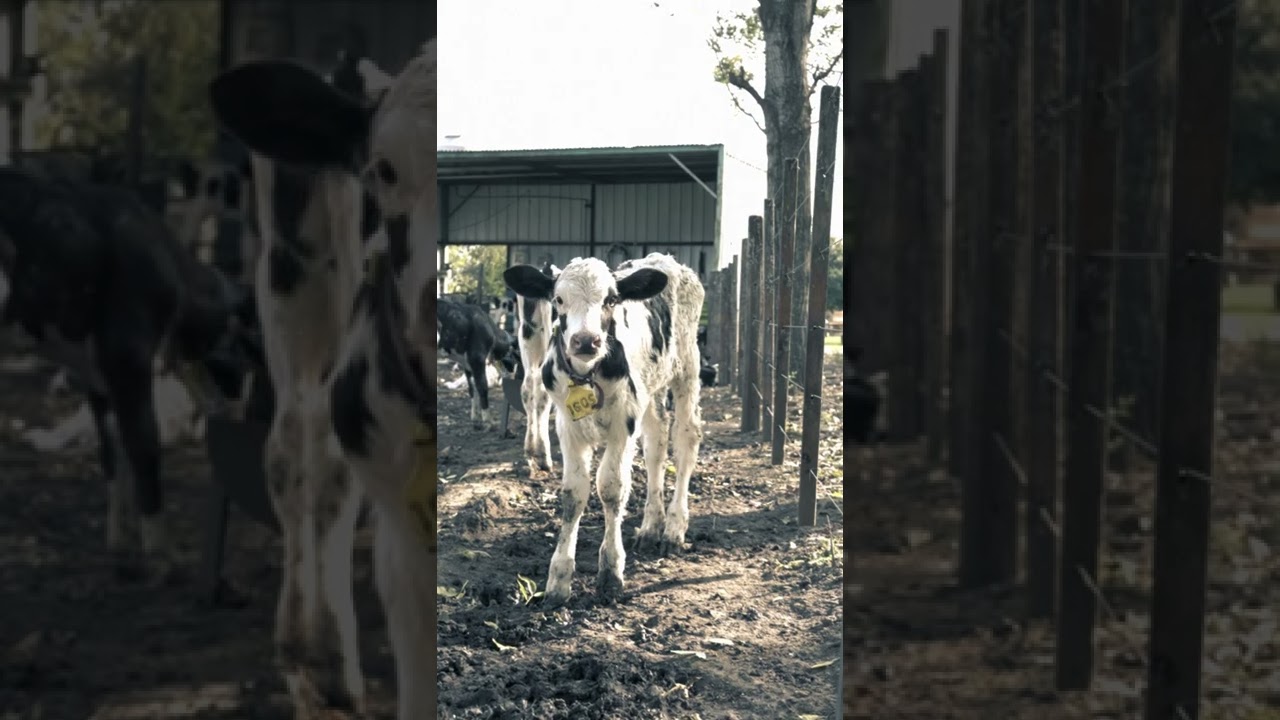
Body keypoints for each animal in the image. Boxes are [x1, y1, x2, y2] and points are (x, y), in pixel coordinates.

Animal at [0, 166, 263, 580]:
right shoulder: (128, 355)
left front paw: (119, 541)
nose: (235, 406)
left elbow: (112, 451)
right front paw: (161, 553)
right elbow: (143, 445)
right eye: (247, 348)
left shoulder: (96, 376)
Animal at [437, 296, 519, 429]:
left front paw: (475, 417)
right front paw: (488, 420)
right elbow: (482, 387)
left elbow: (472, 387)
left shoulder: (467, 364)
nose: (512, 371)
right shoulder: (477, 358)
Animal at [504, 253, 704, 605]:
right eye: (558, 299)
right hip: (650, 389)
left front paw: (611, 572)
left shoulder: (623, 425)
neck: (588, 373)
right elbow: (573, 494)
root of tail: (665, 259)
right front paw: (558, 578)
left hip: (687, 367)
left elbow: (612, 488)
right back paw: (651, 526)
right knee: (656, 444)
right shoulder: (567, 427)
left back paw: (674, 527)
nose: (586, 340)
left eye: (611, 300)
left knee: (684, 441)